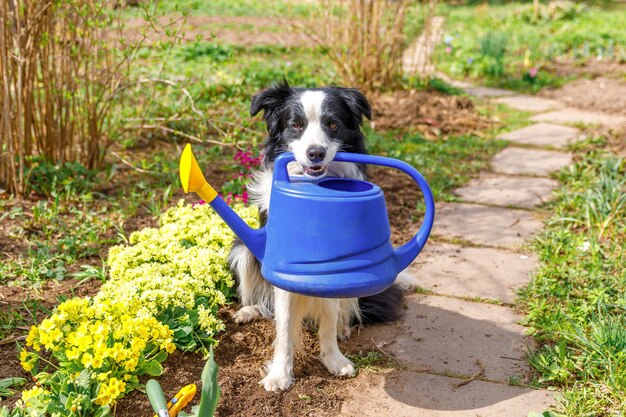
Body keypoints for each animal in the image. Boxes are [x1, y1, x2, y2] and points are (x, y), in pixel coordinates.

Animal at [227, 83, 408, 390]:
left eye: (332, 124)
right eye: (296, 125)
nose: (315, 153)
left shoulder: (334, 272)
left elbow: (329, 317)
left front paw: (334, 360)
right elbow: (284, 326)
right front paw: (280, 374)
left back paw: (343, 327)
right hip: (242, 251)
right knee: (266, 303)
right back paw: (248, 311)